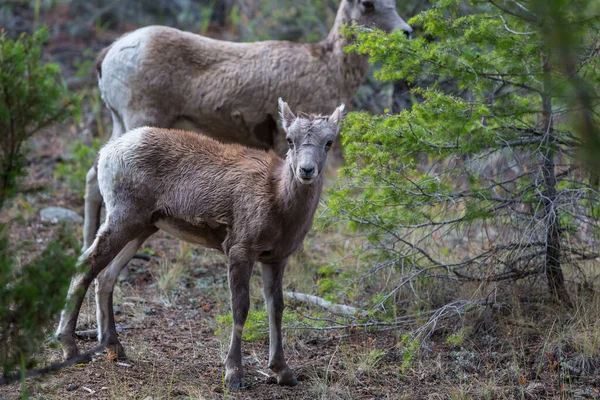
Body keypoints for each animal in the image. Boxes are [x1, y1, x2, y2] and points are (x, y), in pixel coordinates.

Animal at [58, 101, 344, 390]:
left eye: (329, 142)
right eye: (290, 140)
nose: (306, 170)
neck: (278, 200)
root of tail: (107, 152)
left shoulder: (276, 259)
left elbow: (276, 308)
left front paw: (283, 372)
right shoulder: (240, 251)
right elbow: (240, 308)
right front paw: (233, 375)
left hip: (143, 227)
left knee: (106, 275)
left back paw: (115, 347)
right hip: (122, 219)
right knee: (86, 266)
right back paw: (70, 348)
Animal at [83, 0, 412, 250]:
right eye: (368, 5)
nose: (406, 32)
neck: (329, 68)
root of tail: (109, 54)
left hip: (120, 122)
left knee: (92, 176)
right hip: (139, 119)